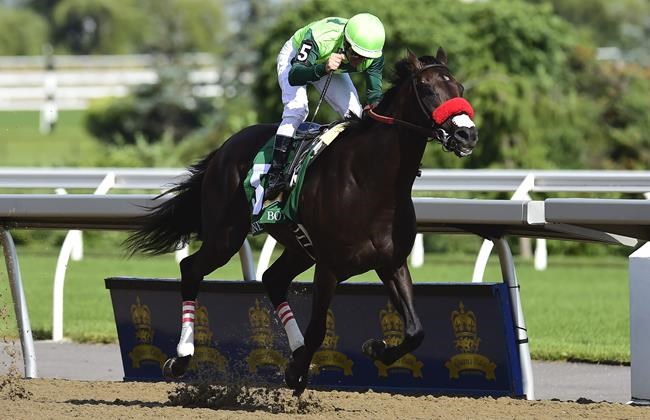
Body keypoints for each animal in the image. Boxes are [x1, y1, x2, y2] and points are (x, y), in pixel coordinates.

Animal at [125, 47, 478, 394]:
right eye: (428, 89)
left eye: (460, 88)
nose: (467, 134)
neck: (371, 182)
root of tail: (224, 149)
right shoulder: (330, 267)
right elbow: (318, 329)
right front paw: (296, 371)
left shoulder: (391, 263)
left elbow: (416, 331)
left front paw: (374, 348)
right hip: (226, 236)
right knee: (191, 270)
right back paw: (181, 358)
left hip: (298, 248)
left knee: (272, 279)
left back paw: (293, 351)